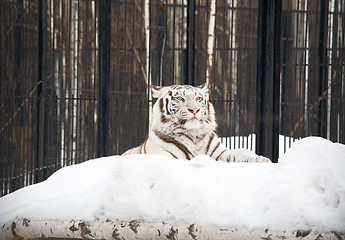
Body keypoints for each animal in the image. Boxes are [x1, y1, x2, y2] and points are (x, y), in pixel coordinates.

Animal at [123, 83, 272, 164]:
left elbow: (241, 154)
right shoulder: (165, 155)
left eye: (198, 98)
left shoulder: (219, 154)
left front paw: (263, 160)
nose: (194, 109)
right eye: (179, 98)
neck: (194, 135)